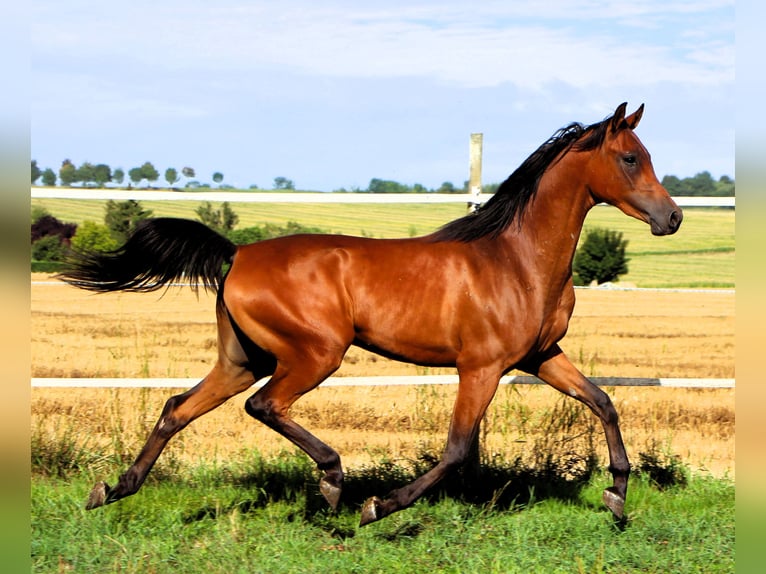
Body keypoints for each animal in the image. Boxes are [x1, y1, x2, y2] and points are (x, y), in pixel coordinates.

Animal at [60, 103, 682, 526]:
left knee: (177, 408)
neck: (517, 259)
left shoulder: (540, 356)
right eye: (630, 158)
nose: (671, 217)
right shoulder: (481, 367)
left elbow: (603, 401)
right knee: (263, 406)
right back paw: (335, 483)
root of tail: (238, 253)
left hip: (243, 357)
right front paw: (380, 505)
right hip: (314, 354)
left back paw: (112, 489)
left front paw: (617, 495)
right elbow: (457, 449)